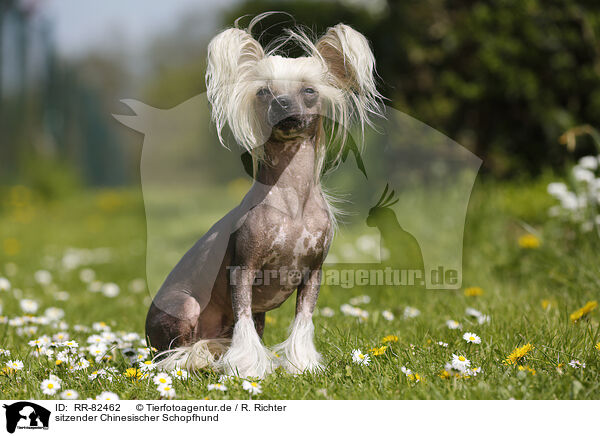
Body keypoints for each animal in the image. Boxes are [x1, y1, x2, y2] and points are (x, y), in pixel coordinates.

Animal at [146, 14, 382, 378]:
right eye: (264, 91)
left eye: (309, 90)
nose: (281, 103)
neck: (293, 203)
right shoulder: (242, 270)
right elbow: (242, 322)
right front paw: (246, 368)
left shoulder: (313, 274)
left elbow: (302, 321)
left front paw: (301, 365)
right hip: (184, 306)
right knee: (173, 353)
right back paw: (195, 361)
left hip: (257, 316)